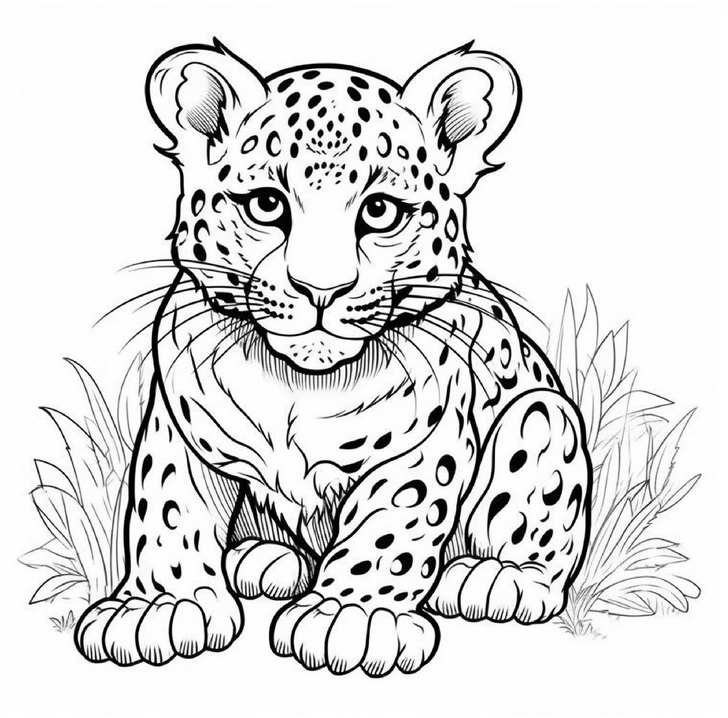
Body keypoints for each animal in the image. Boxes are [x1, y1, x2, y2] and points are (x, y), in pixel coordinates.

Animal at [75, 39, 592, 676]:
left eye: (380, 212)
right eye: (266, 204)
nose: (321, 290)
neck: (299, 389)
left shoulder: (426, 440)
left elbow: (393, 525)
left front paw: (352, 617)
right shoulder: (180, 423)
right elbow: (168, 507)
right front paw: (161, 606)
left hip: (545, 414)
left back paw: (498, 577)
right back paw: (264, 560)